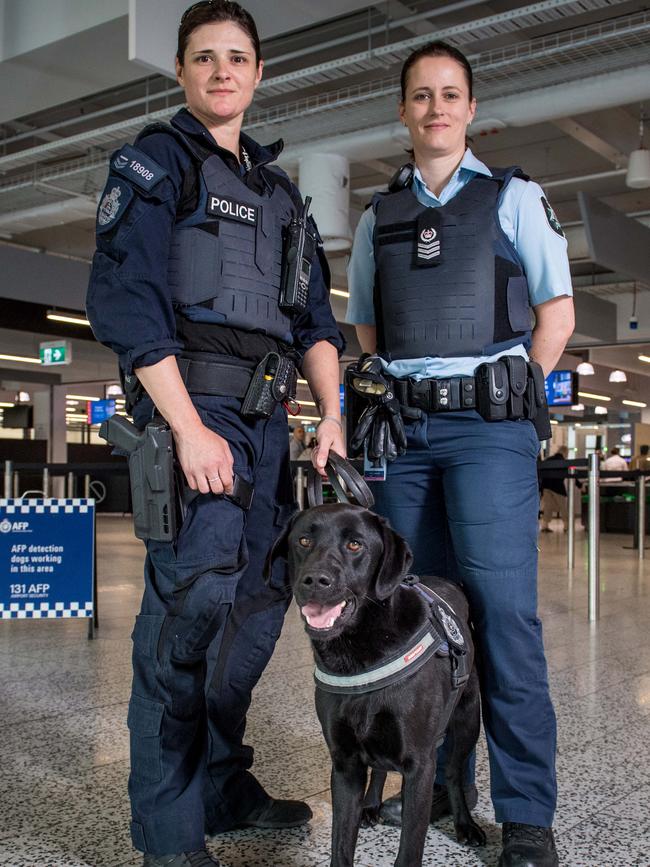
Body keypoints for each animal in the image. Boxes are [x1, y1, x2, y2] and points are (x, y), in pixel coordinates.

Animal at [266, 502, 484, 867]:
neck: (358, 653)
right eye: (304, 541)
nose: (316, 580)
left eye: (355, 545)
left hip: (469, 718)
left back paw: (465, 824)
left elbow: (409, 849)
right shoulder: (344, 766)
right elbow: (341, 845)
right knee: (380, 769)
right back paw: (371, 805)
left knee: (454, 772)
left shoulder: (420, 766)